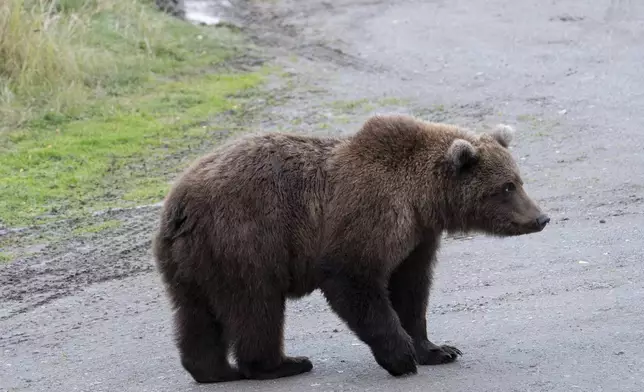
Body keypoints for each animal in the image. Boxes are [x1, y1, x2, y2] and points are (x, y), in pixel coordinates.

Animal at [151, 113, 548, 382]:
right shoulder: (371, 212)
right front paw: (401, 355)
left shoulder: (417, 236)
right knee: (256, 306)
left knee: (195, 313)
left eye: (518, 180)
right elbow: (353, 278)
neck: (422, 198)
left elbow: (411, 289)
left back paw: (212, 370)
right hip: (245, 240)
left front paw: (438, 349)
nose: (541, 218)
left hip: (194, 260)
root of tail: (177, 204)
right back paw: (281, 364)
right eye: (507, 187)